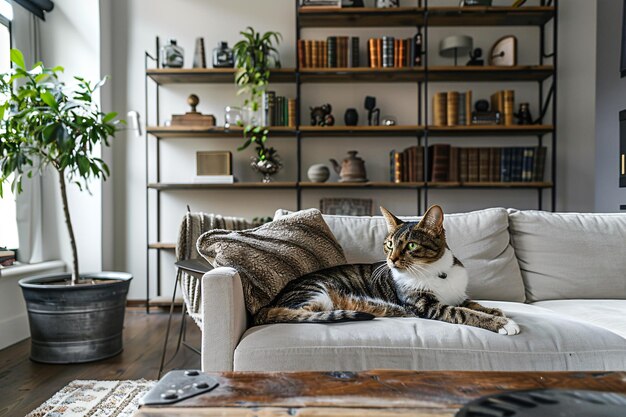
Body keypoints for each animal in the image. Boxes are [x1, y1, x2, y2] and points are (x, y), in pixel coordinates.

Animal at [251, 204, 520, 334]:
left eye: (411, 245)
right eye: (389, 244)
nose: (391, 260)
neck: (435, 271)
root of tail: (265, 307)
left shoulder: (457, 294)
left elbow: (473, 304)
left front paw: (497, 311)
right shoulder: (428, 306)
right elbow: (464, 313)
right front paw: (501, 323)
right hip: (315, 292)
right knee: (299, 314)